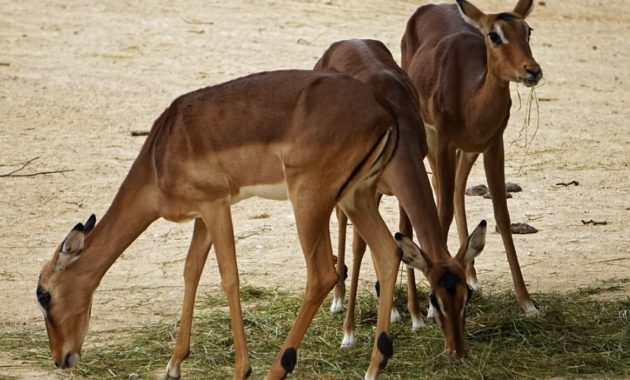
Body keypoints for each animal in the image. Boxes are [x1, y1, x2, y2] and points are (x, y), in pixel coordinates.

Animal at [38, 70, 404, 378]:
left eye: (44, 295)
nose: (61, 358)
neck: (160, 155)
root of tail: (384, 111)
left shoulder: (216, 205)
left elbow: (229, 277)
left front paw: (242, 369)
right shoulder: (202, 215)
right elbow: (191, 271)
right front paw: (174, 364)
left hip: (310, 201)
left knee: (323, 274)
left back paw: (278, 368)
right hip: (357, 198)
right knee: (388, 252)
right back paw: (374, 366)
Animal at [316, 40, 488, 358]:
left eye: (466, 296)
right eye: (435, 299)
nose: (456, 351)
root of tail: (343, 42)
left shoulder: (400, 187)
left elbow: (404, 236)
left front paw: (415, 317)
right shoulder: (364, 189)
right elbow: (359, 247)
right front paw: (349, 334)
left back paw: (392, 310)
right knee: (341, 221)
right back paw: (337, 299)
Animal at [404, 0, 544, 314]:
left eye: (527, 30)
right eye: (494, 35)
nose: (532, 70)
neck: (468, 99)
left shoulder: (493, 145)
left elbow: (502, 215)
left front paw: (527, 302)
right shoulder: (444, 142)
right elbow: (441, 211)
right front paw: (432, 303)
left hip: (467, 151)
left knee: (456, 191)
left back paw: (470, 275)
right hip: (431, 139)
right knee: (442, 193)